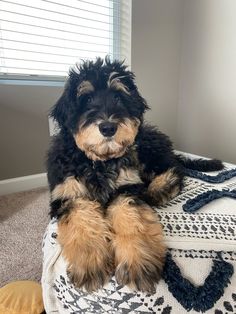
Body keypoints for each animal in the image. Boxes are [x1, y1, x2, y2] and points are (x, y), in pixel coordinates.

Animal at [46, 57, 223, 294]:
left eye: (118, 97)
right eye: (87, 98)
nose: (108, 127)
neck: (98, 162)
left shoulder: (127, 187)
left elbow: (130, 218)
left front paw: (138, 262)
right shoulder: (69, 194)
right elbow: (82, 219)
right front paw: (91, 263)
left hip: (148, 152)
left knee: (176, 168)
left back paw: (160, 188)